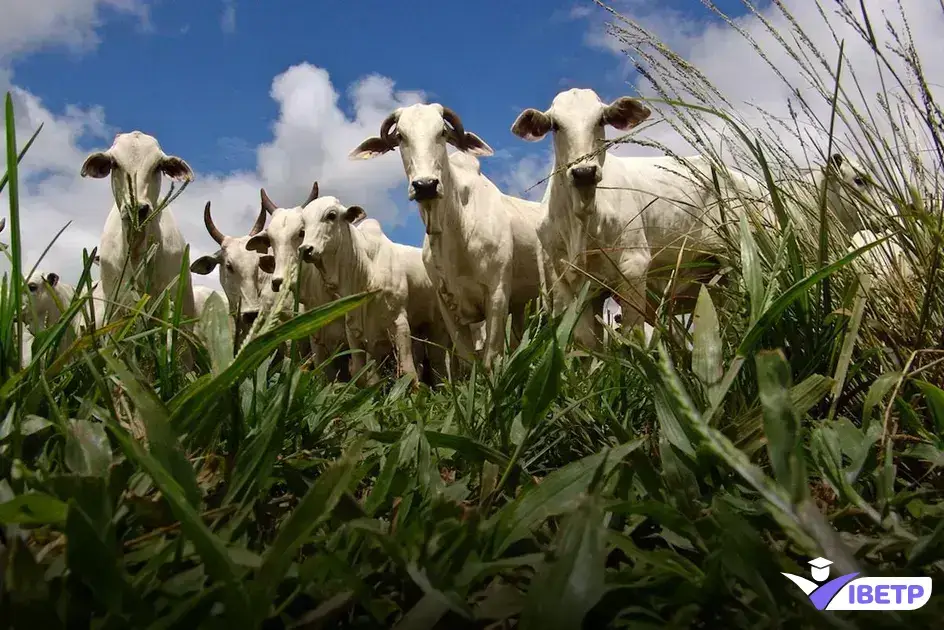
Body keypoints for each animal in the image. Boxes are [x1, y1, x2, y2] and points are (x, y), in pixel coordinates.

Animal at [298, 198, 454, 386]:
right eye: (303, 225)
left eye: (331, 215)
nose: (305, 249)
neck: (365, 271)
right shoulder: (356, 332)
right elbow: (364, 377)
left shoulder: (400, 323)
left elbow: (409, 373)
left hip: (439, 326)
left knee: (439, 363)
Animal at [348, 103, 544, 370]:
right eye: (400, 136)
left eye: (442, 132)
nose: (425, 185)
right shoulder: (447, 307)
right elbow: (468, 359)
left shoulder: (497, 294)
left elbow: (490, 358)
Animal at [508, 88, 768, 346]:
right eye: (556, 125)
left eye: (601, 120)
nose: (584, 172)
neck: (581, 220)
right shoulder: (567, 284)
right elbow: (587, 343)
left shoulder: (633, 266)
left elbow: (633, 336)